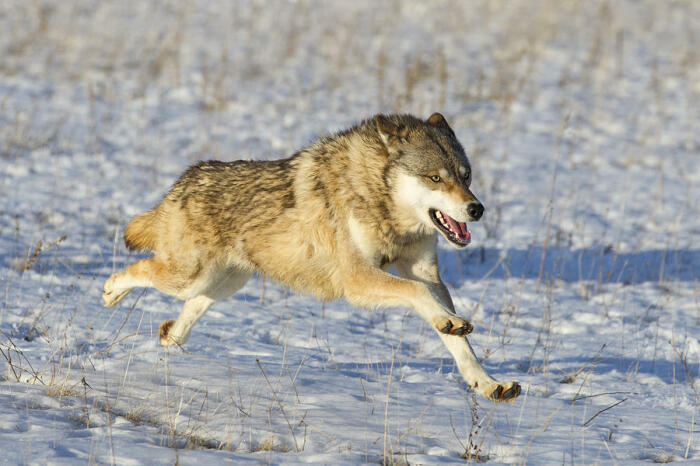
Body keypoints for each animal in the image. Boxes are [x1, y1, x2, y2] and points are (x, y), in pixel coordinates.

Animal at [104, 113, 520, 400]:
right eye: (435, 178)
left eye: (466, 176)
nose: (477, 209)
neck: (378, 198)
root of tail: (183, 180)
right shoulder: (357, 280)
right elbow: (419, 298)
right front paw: (451, 324)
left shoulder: (429, 276)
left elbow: (457, 341)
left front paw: (489, 384)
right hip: (186, 276)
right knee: (136, 269)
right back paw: (110, 293)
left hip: (221, 285)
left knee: (181, 319)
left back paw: (168, 337)